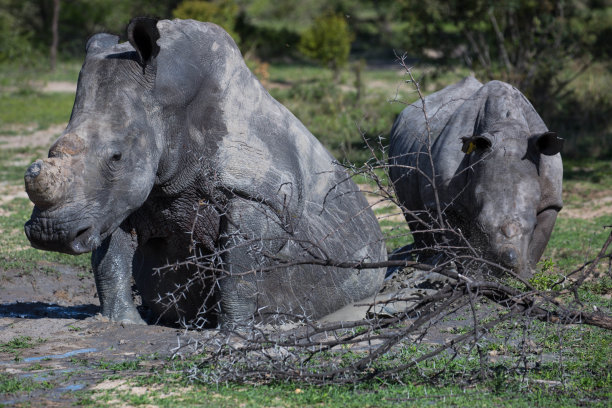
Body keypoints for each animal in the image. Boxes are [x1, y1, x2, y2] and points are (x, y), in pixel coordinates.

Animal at [26, 17, 388, 326]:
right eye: (51, 149)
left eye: (116, 157)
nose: (50, 234)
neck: (169, 104)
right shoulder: (111, 199)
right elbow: (109, 256)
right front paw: (123, 323)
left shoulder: (256, 196)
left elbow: (238, 268)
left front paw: (235, 333)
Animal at [390, 77, 560, 278]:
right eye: (480, 226)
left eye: (533, 226)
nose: (506, 265)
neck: (507, 126)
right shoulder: (446, 201)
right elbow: (457, 241)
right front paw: (470, 272)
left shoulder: (552, 200)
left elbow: (538, 243)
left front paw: (525, 277)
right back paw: (424, 260)